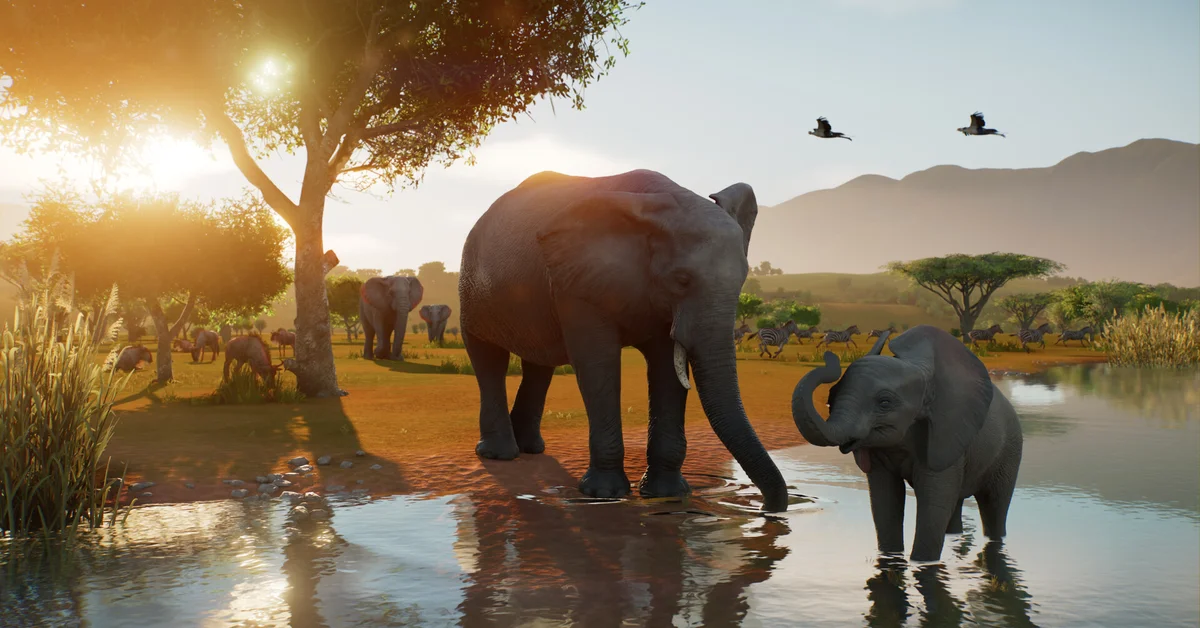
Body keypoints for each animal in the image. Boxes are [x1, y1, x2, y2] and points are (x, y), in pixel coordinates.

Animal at [458, 169, 789, 511]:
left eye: (742, 280)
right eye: (682, 280)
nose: (764, 507)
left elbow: (666, 370)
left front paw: (666, 494)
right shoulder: (577, 283)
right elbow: (598, 363)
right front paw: (604, 494)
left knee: (539, 366)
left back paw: (531, 448)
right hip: (473, 288)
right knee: (489, 359)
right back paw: (499, 455)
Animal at [790, 325, 1023, 561]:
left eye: (884, 402)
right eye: (832, 396)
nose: (830, 357)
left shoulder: (944, 437)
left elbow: (933, 502)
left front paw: (921, 563)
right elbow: (885, 499)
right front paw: (891, 557)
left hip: (1010, 449)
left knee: (994, 504)